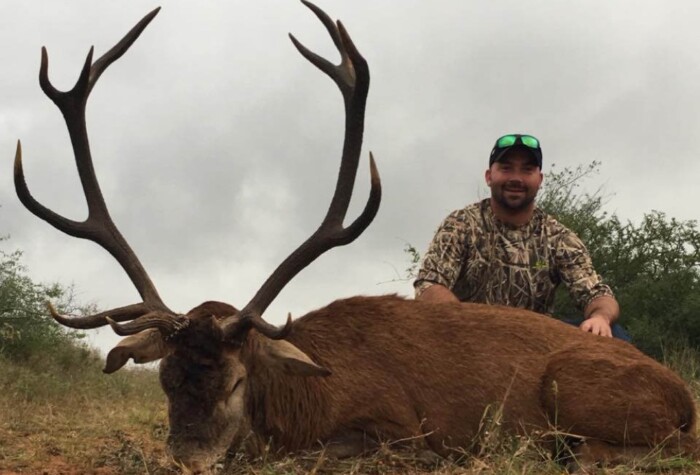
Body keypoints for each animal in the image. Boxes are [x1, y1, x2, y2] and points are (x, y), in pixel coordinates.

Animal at [14, 2, 697, 474]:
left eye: (235, 382)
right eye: (165, 380)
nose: (188, 461)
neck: (300, 398)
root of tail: (685, 398)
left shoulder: (398, 431)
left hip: (572, 386)